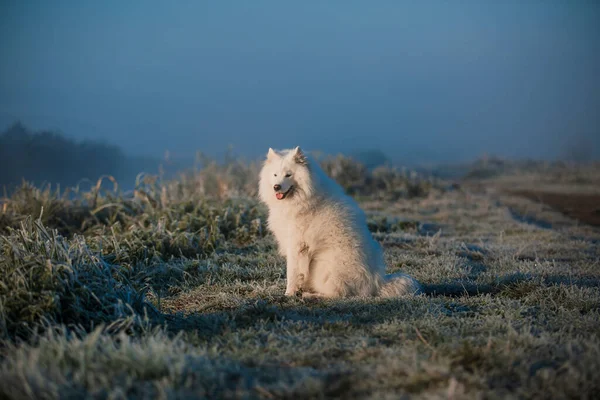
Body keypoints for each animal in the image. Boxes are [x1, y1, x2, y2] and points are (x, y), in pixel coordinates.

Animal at [258, 146, 422, 296]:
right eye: (275, 174)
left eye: (288, 175)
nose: (276, 187)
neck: (304, 198)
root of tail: (376, 285)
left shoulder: (297, 245)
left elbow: (292, 273)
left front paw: (289, 294)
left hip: (323, 266)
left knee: (336, 294)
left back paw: (310, 295)